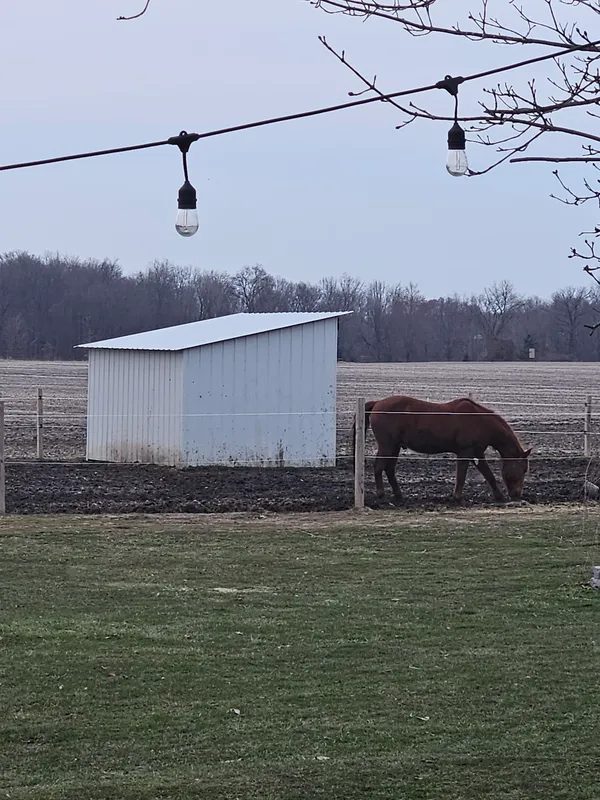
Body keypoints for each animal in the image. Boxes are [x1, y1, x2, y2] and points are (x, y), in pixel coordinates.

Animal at [353, 395, 531, 503]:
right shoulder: (465, 452)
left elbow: (488, 475)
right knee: (379, 467)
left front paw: (499, 496)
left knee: (389, 469)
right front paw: (457, 497)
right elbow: (462, 475)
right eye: (523, 469)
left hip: (394, 447)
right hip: (387, 446)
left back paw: (399, 495)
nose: (517, 494)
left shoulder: (477, 453)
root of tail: (377, 403)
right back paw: (381, 495)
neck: (479, 420)